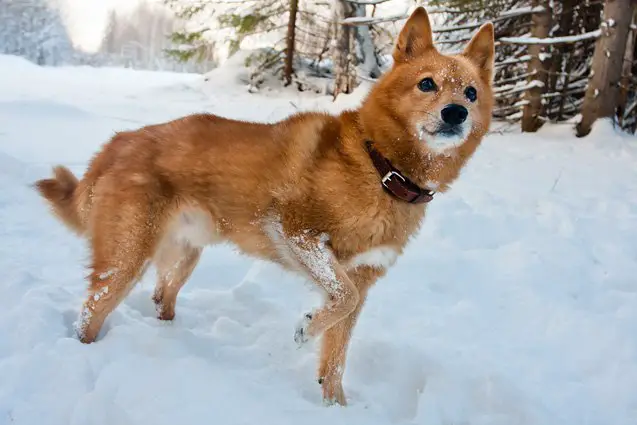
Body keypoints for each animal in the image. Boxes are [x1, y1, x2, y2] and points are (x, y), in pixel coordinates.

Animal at [33, 6, 492, 404]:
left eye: (471, 92)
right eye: (427, 84)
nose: (456, 113)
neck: (380, 165)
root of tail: (116, 143)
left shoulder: (362, 278)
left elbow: (337, 354)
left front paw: (334, 405)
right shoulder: (299, 233)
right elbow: (339, 297)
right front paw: (306, 329)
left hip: (185, 255)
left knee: (163, 297)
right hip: (127, 256)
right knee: (91, 310)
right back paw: (85, 349)